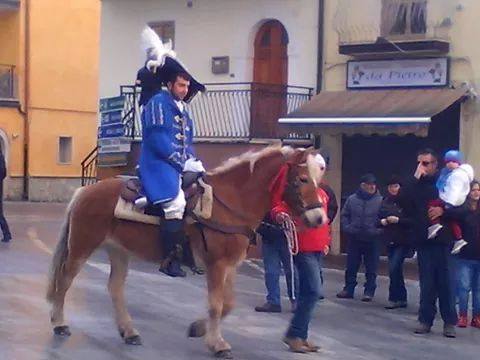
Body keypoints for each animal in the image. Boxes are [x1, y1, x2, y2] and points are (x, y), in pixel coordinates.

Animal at [46, 146, 326, 358]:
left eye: (317, 180)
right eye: (302, 179)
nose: (319, 218)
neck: (231, 201)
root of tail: (85, 191)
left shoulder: (230, 265)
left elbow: (228, 304)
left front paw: (198, 329)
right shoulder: (216, 264)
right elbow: (216, 304)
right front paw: (217, 344)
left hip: (119, 251)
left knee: (115, 288)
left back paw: (129, 331)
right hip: (82, 246)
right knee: (65, 279)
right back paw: (59, 323)